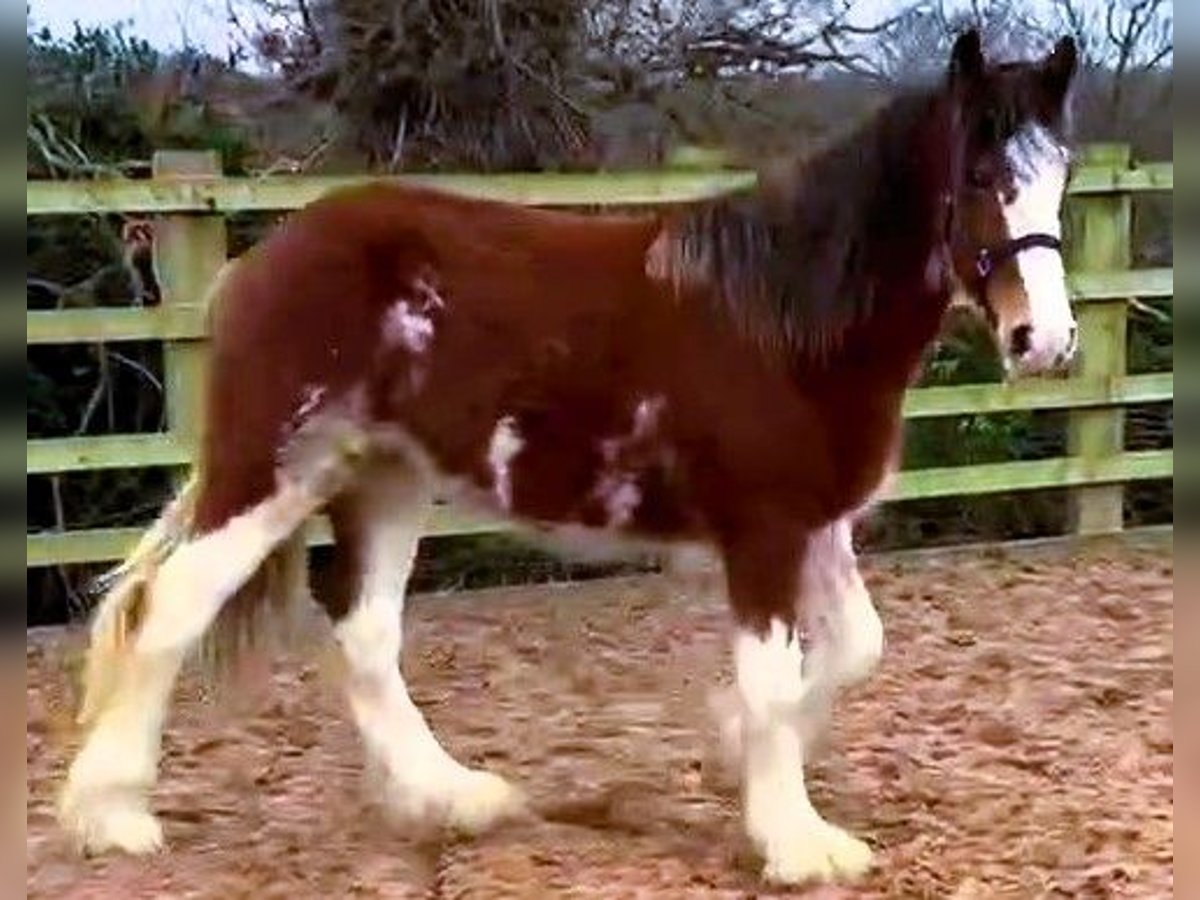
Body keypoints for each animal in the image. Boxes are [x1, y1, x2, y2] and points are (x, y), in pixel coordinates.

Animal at [60, 30, 1084, 888]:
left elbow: (855, 650)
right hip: (276, 470)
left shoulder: (815, 525)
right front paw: (796, 843)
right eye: (982, 174)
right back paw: (113, 818)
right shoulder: (762, 533)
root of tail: (268, 256)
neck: (788, 326)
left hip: (388, 478)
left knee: (364, 632)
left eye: (1061, 175)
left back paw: (450, 798)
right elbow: (774, 676)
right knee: (172, 608)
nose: (1043, 340)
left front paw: (730, 753)